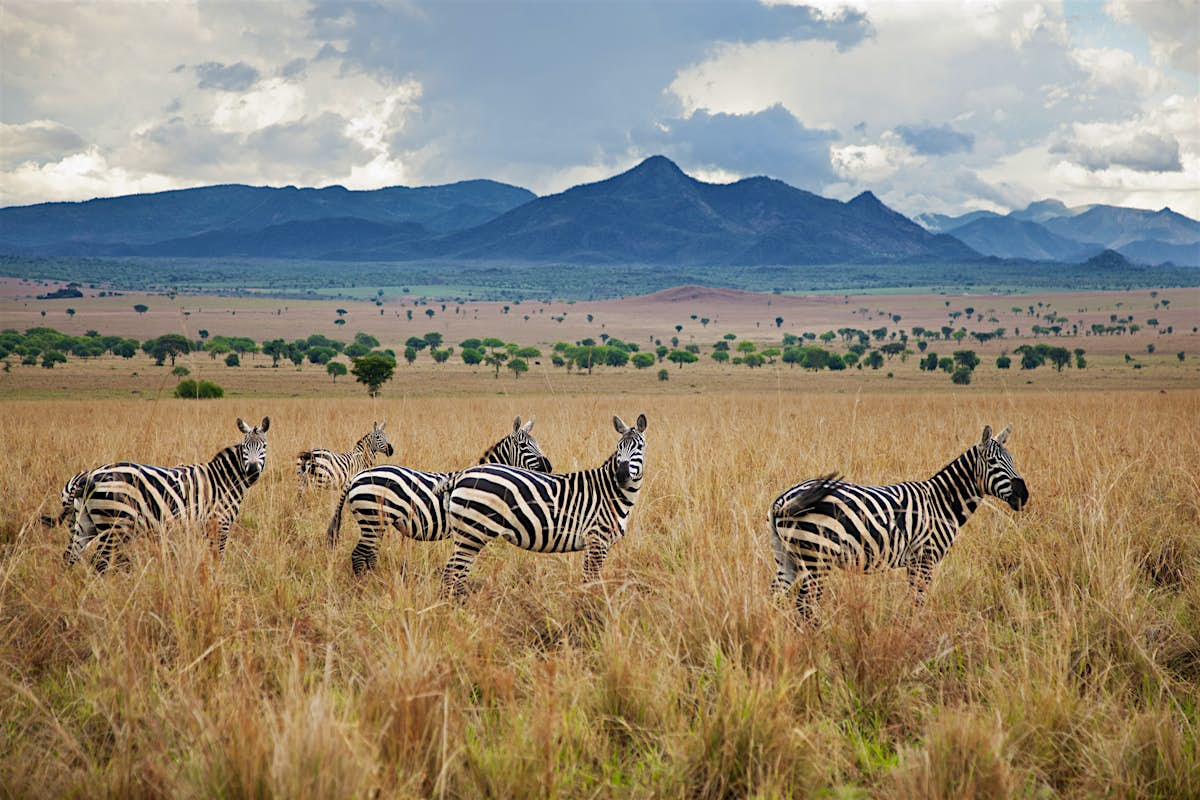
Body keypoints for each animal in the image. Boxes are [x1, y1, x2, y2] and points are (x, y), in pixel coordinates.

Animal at [67, 417, 272, 573]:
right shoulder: (220, 524)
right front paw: (218, 582)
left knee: (70, 556)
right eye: (245, 447)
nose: (252, 470)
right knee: (100, 562)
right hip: (114, 525)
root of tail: (88, 475)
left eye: (264, 446)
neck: (223, 480)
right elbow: (218, 558)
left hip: (86, 523)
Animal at [326, 419, 554, 575]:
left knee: (370, 554)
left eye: (537, 443)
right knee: (359, 554)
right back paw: (364, 586)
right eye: (524, 446)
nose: (548, 467)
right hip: (372, 518)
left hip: (376, 522)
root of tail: (356, 476)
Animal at [441, 412, 648, 594]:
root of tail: (462, 474)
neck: (610, 492)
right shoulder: (596, 540)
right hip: (471, 534)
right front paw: (590, 605)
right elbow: (590, 581)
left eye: (639, 447)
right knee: (451, 574)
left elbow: (589, 580)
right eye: (619, 447)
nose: (621, 475)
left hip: (468, 536)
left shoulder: (597, 544)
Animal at [772, 424, 1027, 618]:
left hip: (786, 557)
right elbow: (918, 601)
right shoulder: (925, 558)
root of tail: (782, 500)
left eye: (1013, 460)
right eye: (993, 462)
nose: (1024, 495)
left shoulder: (915, 561)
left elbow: (914, 600)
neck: (941, 503)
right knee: (805, 606)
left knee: (777, 600)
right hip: (816, 558)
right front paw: (917, 631)